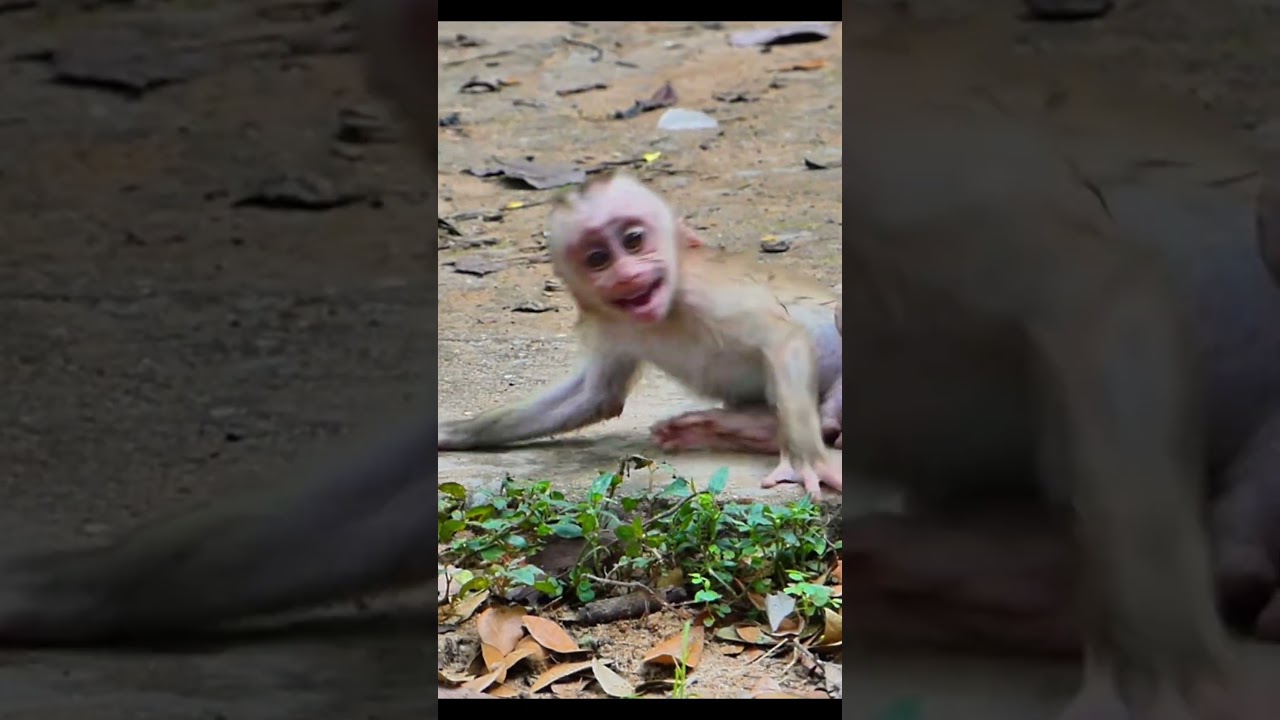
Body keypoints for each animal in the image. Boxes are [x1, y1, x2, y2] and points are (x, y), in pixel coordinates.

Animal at [437, 172, 844, 500]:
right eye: (598, 258)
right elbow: (597, 397)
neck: (665, 311)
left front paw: (805, 460)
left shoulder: (701, 290)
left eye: (633, 240)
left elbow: (782, 338)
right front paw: (449, 434)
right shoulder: (611, 323)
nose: (628, 275)